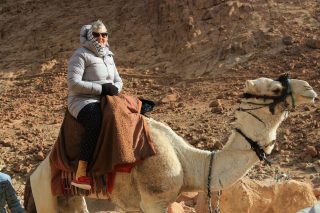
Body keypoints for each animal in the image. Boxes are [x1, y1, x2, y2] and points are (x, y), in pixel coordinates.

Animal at [25, 75, 318, 213]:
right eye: (275, 89)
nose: (309, 89)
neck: (188, 162)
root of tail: (34, 173)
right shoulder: (154, 200)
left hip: (70, 198)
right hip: (46, 193)